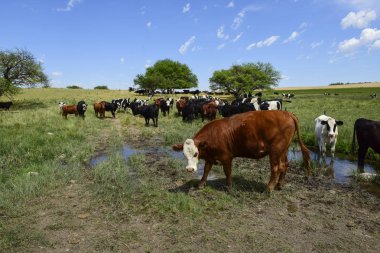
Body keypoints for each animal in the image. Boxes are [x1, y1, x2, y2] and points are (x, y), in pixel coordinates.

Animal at [174, 110, 310, 192]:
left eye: (196, 153)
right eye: (184, 154)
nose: (189, 169)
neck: (213, 135)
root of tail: (286, 113)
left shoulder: (226, 157)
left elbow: (227, 172)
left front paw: (229, 186)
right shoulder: (210, 157)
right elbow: (206, 170)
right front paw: (201, 184)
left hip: (275, 151)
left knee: (276, 168)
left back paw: (269, 188)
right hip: (283, 150)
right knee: (285, 165)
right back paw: (280, 184)